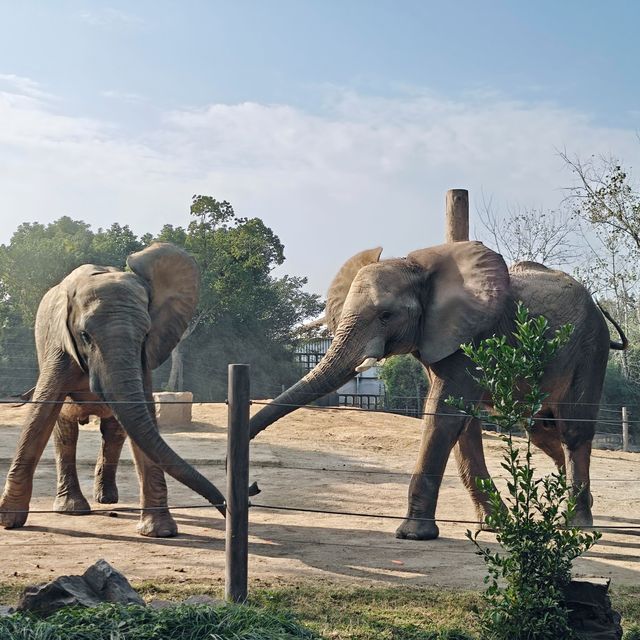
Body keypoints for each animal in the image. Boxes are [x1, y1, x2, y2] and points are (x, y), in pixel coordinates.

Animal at [0, 242, 225, 537]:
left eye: (145, 335)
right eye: (84, 336)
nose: (226, 507)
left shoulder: (144, 357)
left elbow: (145, 416)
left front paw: (160, 532)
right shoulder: (58, 346)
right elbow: (41, 415)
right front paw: (9, 522)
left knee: (115, 430)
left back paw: (107, 500)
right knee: (66, 431)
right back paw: (73, 508)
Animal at [249, 241, 626, 540]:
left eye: (386, 315)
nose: (253, 488)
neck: (416, 266)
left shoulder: (473, 336)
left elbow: (443, 415)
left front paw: (412, 534)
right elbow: (459, 420)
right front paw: (493, 525)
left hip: (590, 347)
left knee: (573, 429)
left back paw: (577, 524)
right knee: (541, 430)